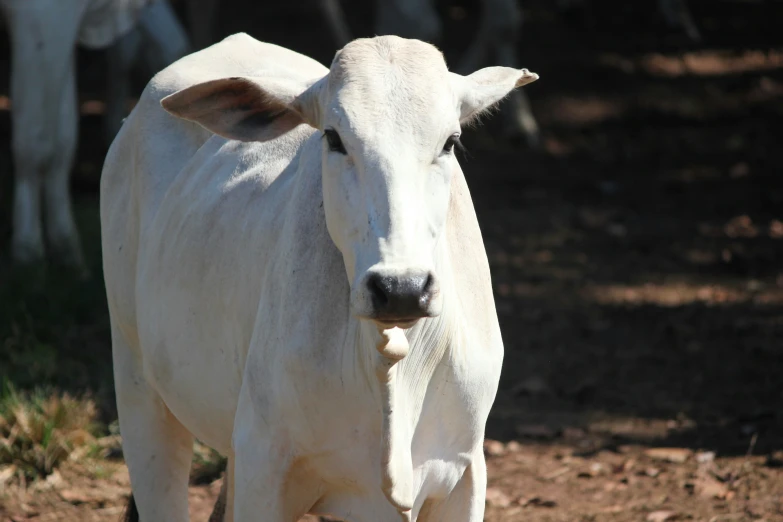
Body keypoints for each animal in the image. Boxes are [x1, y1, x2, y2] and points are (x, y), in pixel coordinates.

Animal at [101, 31, 536, 520]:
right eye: (333, 137)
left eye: (449, 141)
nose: (401, 289)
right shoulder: (263, 467)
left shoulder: (464, 473)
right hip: (138, 387)